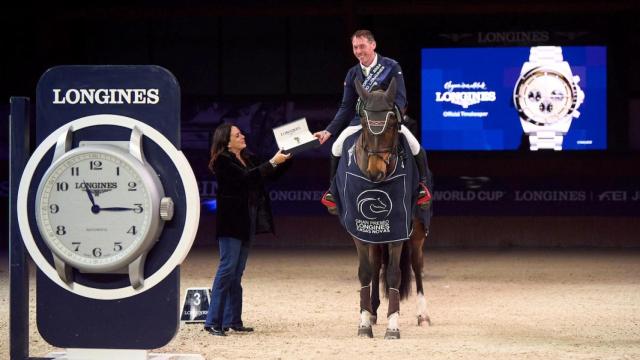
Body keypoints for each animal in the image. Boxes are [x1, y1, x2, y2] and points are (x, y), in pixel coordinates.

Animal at [348, 77, 432, 338]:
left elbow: (395, 274)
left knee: (416, 265)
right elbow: (365, 272)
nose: (376, 171)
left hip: (416, 231)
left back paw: (423, 315)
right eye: (363, 122)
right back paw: (373, 310)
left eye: (393, 122)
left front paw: (393, 326)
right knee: (376, 266)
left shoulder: (399, 229)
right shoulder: (359, 229)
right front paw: (364, 322)